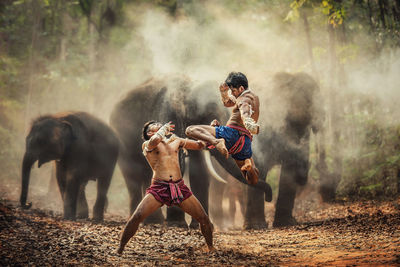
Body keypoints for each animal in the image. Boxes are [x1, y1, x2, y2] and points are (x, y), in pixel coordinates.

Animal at [109, 75, 272, 228]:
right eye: (204, 113)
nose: (269, 197)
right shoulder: (167, 108)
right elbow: (179, 162)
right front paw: (177, 224)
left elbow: (199, 170)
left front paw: (196, 226)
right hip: (122, 139)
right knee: (132, 175)